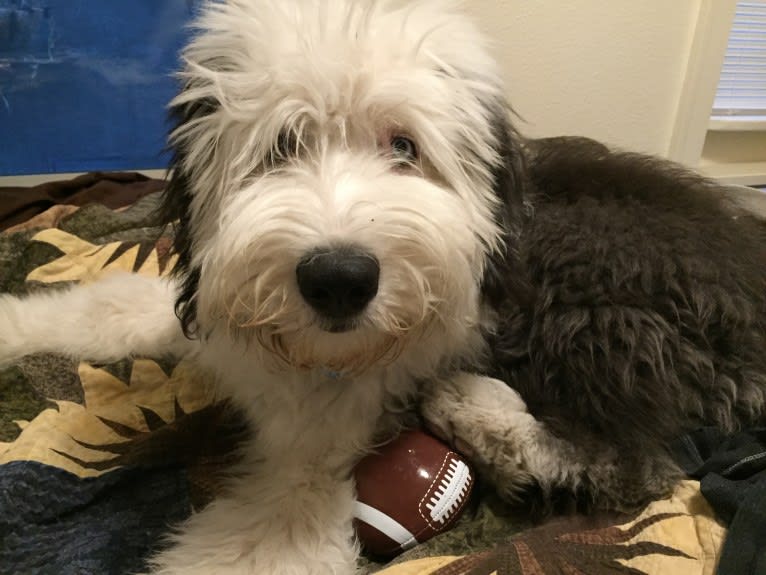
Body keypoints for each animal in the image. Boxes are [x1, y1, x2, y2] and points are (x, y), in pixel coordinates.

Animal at [1, 1, 766, 575]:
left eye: (405, 147)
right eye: (283, 145)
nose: (339, 278)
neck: (314, 359)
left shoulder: (310, 458)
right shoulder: (211, 316)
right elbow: (107, 308)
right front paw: (14, 324)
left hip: (583, 286)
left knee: (637, 460)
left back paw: (475, 410)